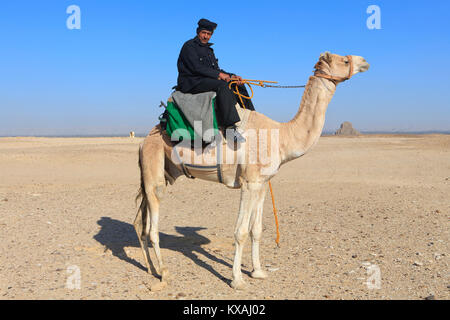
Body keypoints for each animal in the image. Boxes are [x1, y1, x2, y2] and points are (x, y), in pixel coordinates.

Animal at [133, 52, 370, 290]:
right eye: (345, 60)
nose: (364, 61)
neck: (282, 136)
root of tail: (144, 141)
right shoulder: (249, 182)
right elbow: (241, 232)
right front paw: (237, 279)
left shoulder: (262, 183)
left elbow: (256, 230)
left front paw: (258, 272)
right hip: (154, 165)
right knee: (152, 226)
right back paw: (164, 274)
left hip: (161, 170)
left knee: (139, 222)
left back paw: (151, 268)